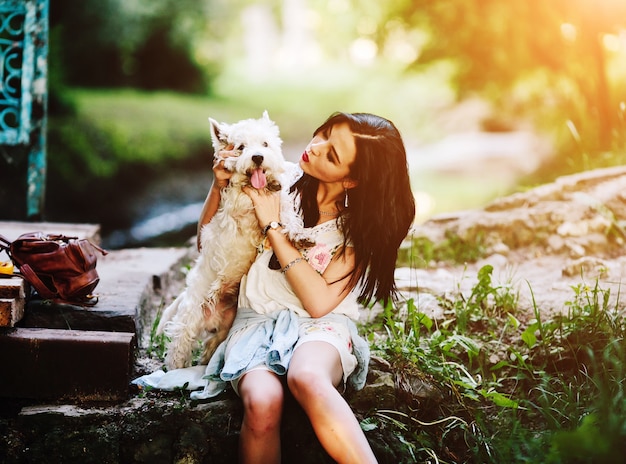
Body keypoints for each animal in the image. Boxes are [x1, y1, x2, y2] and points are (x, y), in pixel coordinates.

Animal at [155, 110, 304, 368]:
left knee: (211, 346)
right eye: (241, 147)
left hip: (226, 328)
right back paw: (175, 367)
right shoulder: (238, 204)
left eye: (265, 144)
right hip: (191, 315)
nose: (257, 157)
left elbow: (284, 210)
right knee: (179, 343)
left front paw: (297, 232)